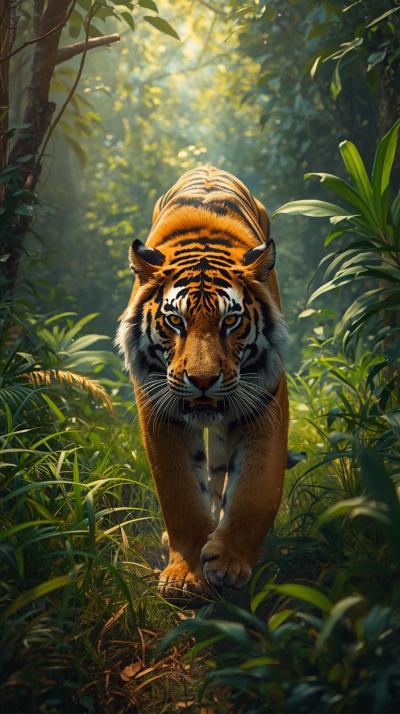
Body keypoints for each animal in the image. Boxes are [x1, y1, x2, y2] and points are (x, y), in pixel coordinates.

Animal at [116, 165, 289, 602]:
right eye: (175, 321)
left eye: (231, 321)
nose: (203, 380)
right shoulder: (159, 409)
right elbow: (180, 493)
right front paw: (186, 574)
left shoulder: (264, 403)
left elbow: (256, 491)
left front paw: (228, 562)